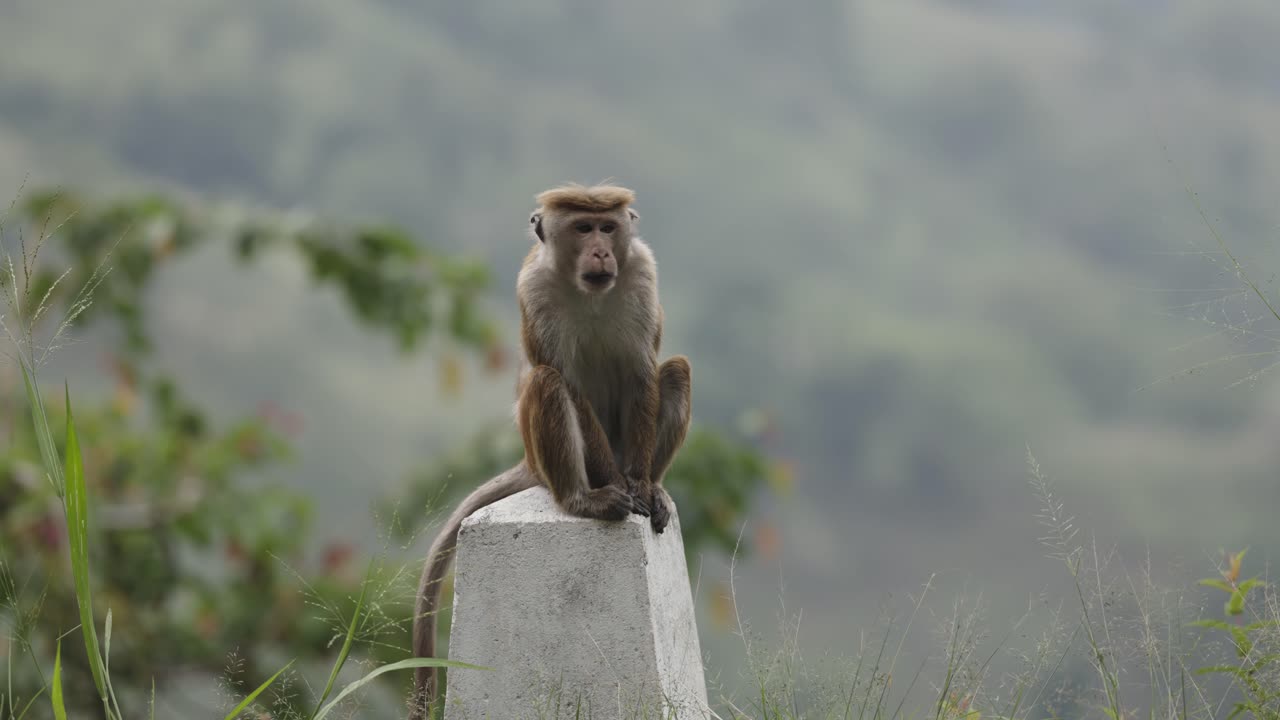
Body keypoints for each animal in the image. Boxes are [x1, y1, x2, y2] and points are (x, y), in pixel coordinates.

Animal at [409, 184, 692, 719]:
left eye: (608, 227)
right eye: (582, 228)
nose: (601, 252)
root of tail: (530, 462)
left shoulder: (643, 273)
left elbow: (645, 374)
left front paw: (641, 484)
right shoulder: (533, 287)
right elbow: (566, 379)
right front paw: (619, 490)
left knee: (676, 370)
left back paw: (655, 485)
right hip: (550, 459)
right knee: (546, 381)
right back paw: (584, 498)